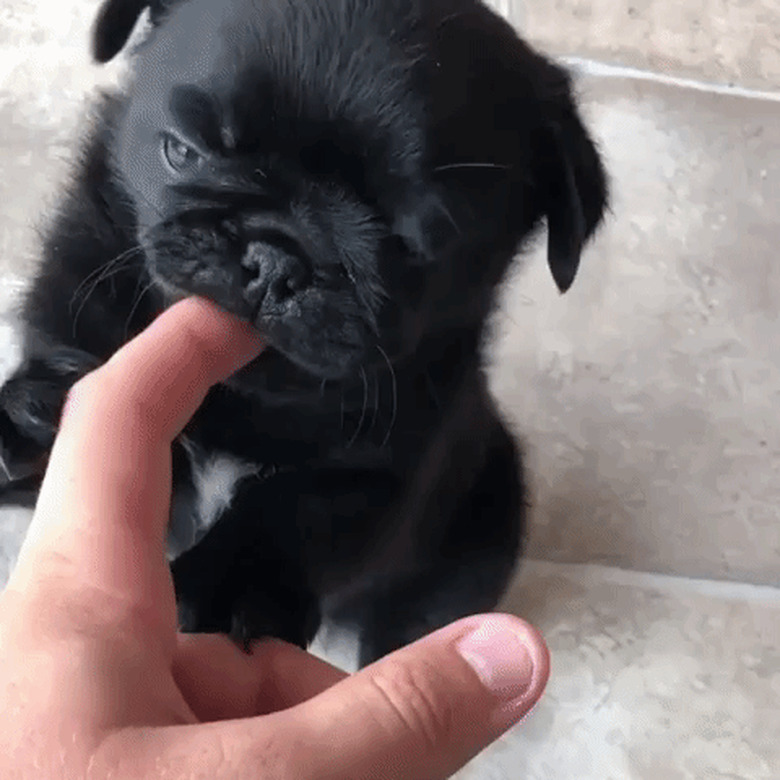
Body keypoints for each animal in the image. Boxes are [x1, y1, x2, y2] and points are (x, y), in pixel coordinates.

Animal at [0, 0, 608, 664]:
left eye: (417, 242)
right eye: (182, 153)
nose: (276, 258)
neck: (240, 393)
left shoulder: (384, 476)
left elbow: (298, 509)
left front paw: (229, 583)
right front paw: (31, 416)